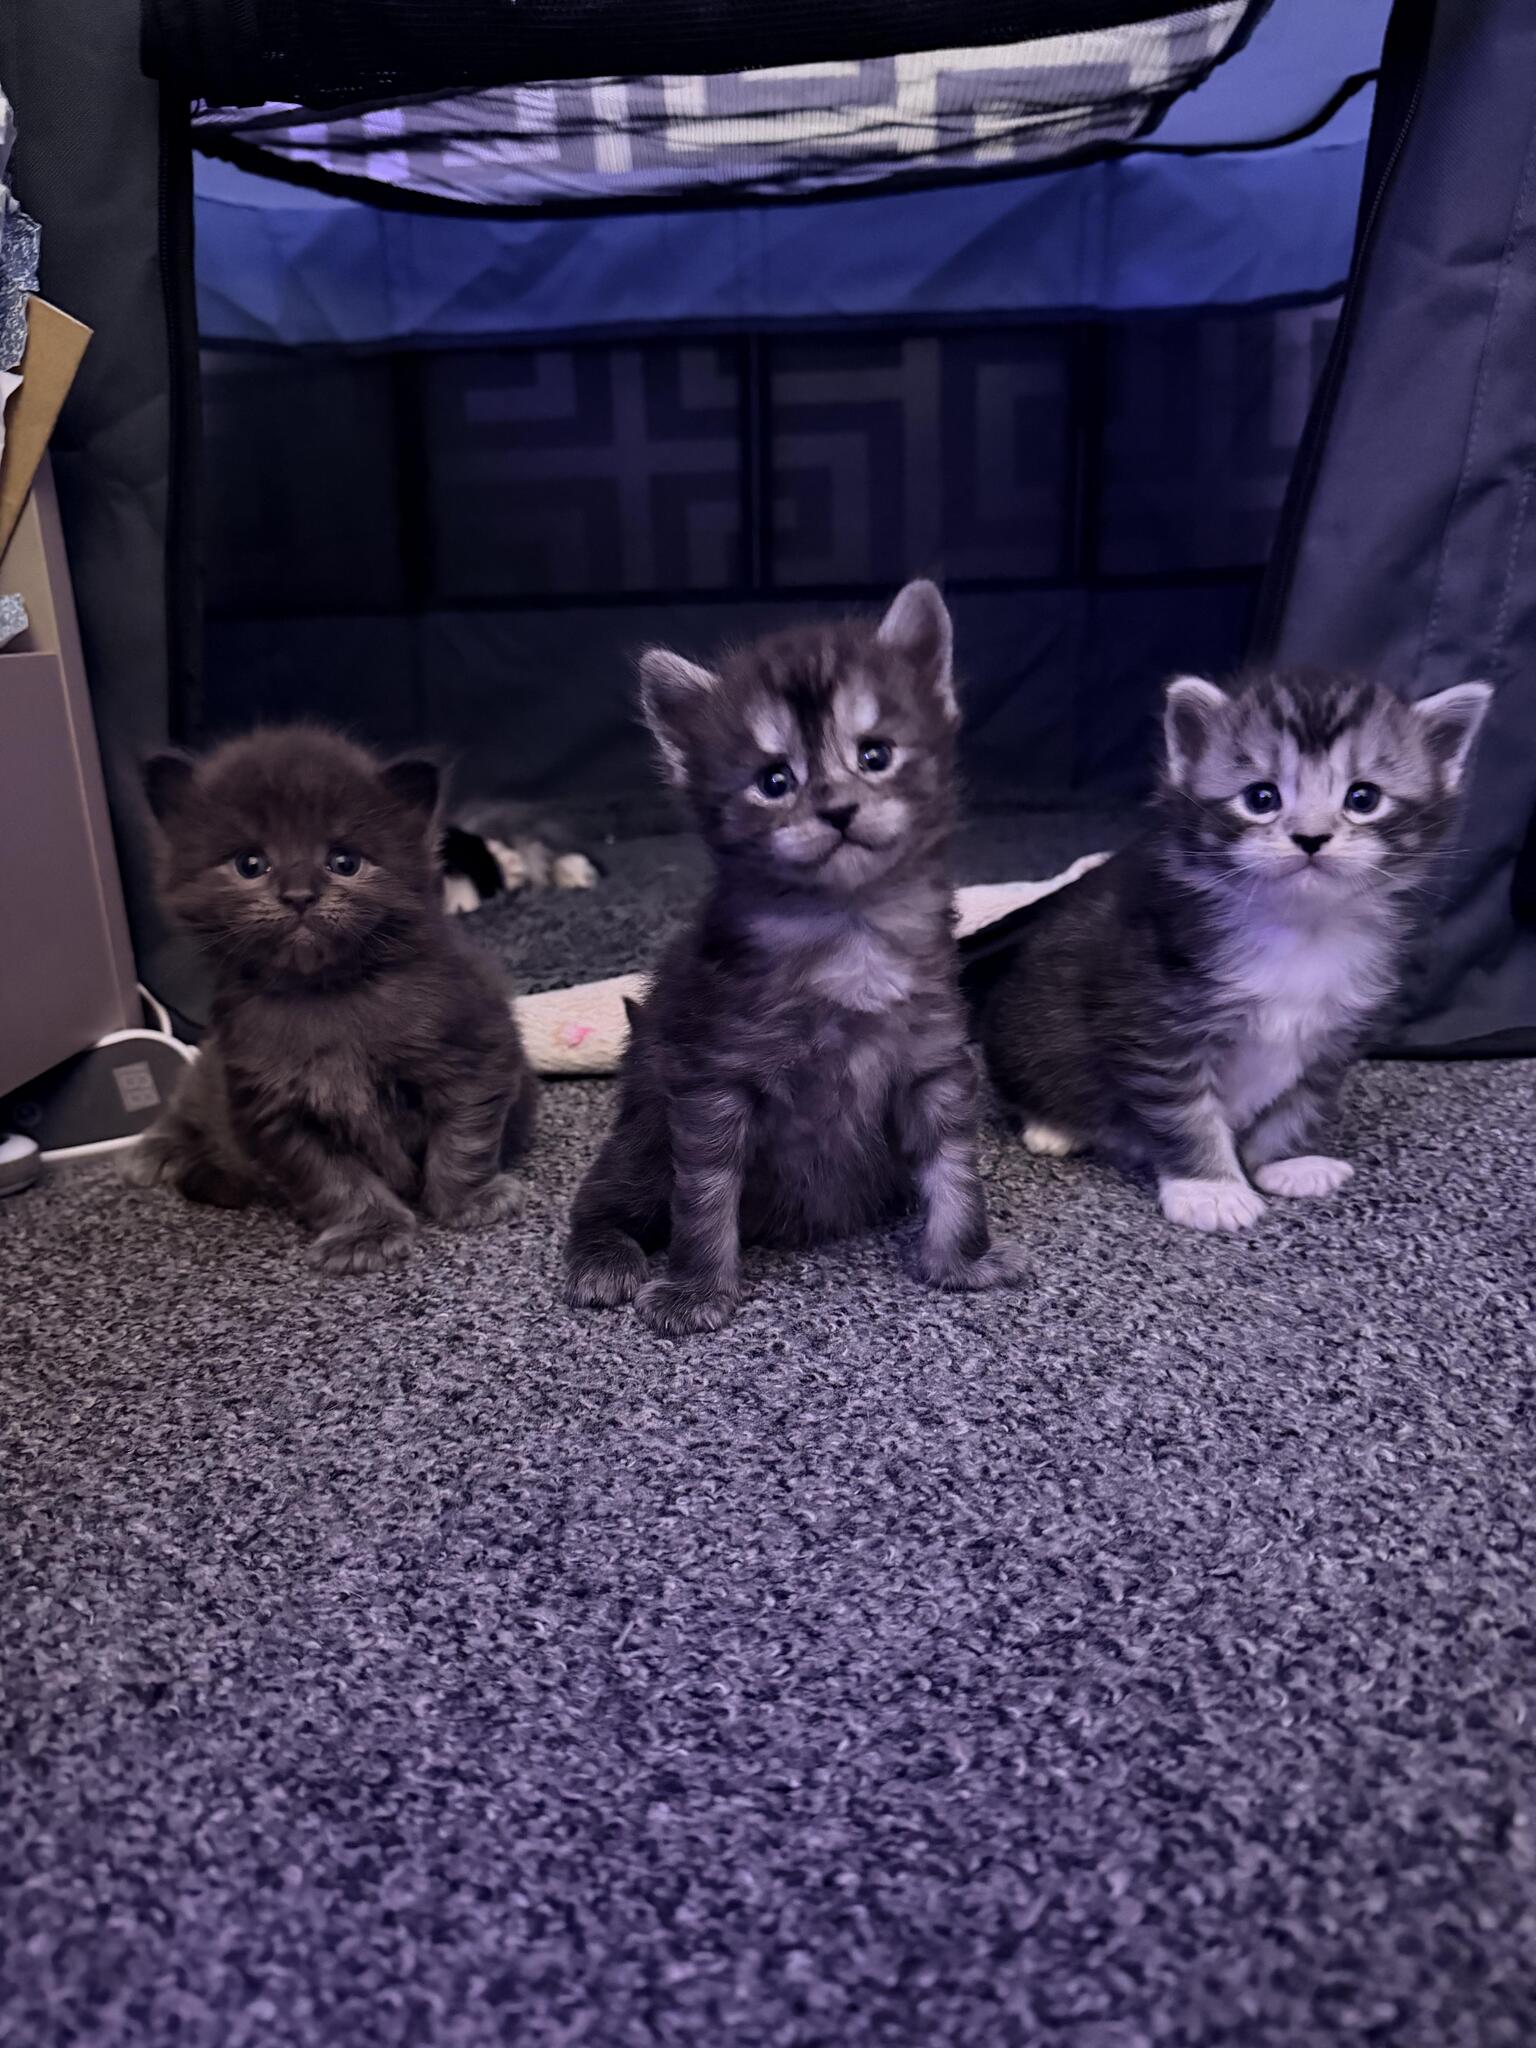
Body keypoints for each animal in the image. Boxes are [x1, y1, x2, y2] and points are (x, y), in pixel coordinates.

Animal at [120, 726, 537, 1273]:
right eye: (250, 864)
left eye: (344, 862)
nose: (299, 894)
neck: (326, 992)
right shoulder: (272, 1108)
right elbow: (334, 1181)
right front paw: (367, 1233)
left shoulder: (474, 1050)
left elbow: (463, 1139)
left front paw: (470, 1201)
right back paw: (157, 1149)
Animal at [563, 579, 1027, 1337]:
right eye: (774, 781)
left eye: (875, 755)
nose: (837, 810)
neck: (848, 931)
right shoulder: (712, 1081)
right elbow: (705, 1196)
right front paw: (696, 1289)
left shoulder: (934, 1061)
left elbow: (956, 1167)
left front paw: (963, 1260)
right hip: (646, 1127)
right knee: (604, 1193)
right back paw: (603, 1255)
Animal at [963, 666, 1492, 1233]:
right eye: (1261, 798)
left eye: (1363, 798)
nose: (1311, 838)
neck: (1297, 928)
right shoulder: (1155, 1025)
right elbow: (1185, 1112)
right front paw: (1209, 1189)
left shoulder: (1337, 1031)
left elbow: (1302, 1099)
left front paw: (1285, 1162)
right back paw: (1055, 1127)